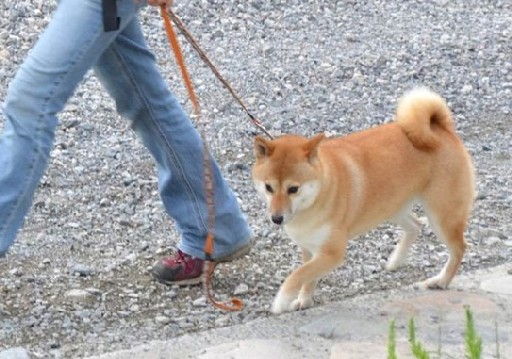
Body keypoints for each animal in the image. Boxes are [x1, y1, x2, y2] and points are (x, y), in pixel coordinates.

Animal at [252, 88, 476, 314]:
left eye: (293, 189)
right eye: (268, 187)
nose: (276, 218)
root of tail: (441, 129)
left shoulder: (332, 252)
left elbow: (297, 275)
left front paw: (281, 300)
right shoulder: (309, 247)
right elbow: (307, 277)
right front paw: (304, 300)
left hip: (441, 215)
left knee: (458, 248)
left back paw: (441, 280)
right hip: (391, 207)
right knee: (415, 226)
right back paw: (396, 260)